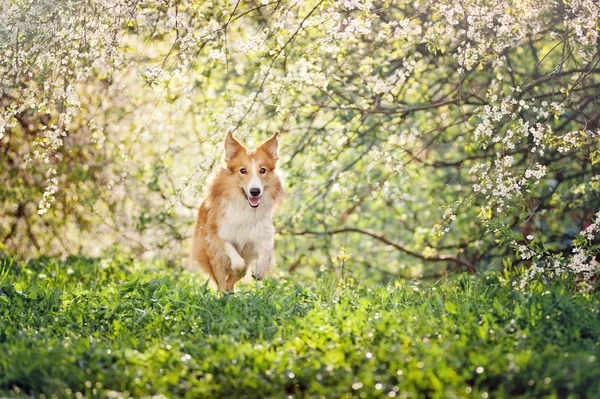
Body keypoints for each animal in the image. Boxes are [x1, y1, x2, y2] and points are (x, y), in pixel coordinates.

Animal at [192, 131, 286, 290]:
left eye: (263, 170)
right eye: (243, 170)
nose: (255, 191)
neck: (246, 208)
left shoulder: (262, 234)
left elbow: (268, 250)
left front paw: (259, 270)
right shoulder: (218, 234)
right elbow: (236, 260)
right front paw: (237, 268)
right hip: (213, 257)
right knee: (222, 282)